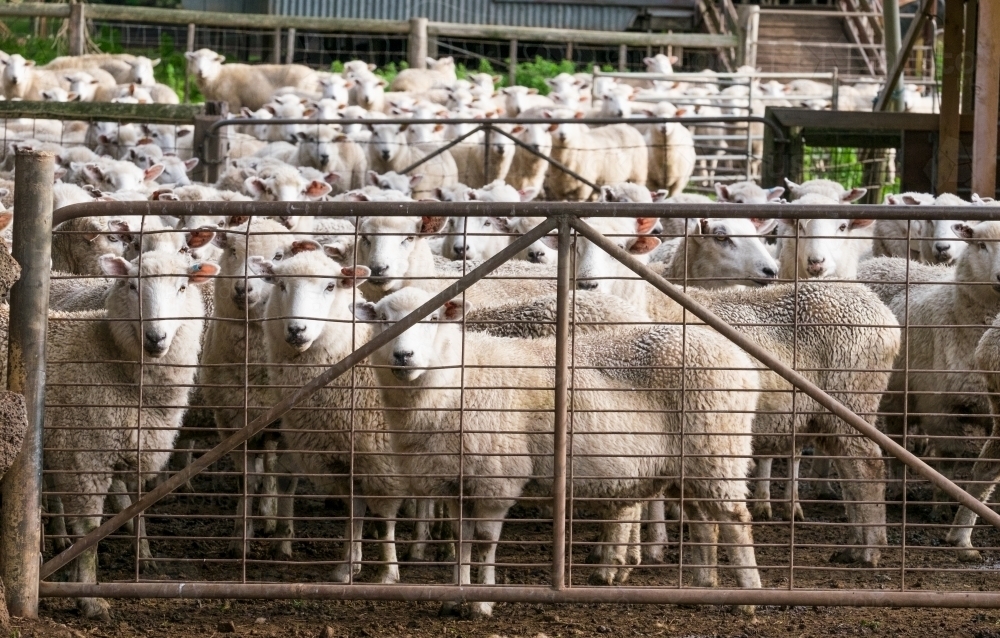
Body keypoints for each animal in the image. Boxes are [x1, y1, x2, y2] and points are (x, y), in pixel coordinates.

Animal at [2, 251, 217, 619]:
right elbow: (89, 532)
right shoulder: (84, 454)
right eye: (132, 286)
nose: (156, 337)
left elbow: (134, 509)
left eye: (183, 287)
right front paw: (89, 598)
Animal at [185, 48, 320, 111]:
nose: (201, 71)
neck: (218, 76)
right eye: (195, 59)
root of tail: (315, 74)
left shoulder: (233, 103)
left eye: (213, 60)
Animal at [251, 243, 404, 580]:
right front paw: (348, 566)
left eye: (331, 287)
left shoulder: (385, 461)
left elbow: (384, 518)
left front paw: (388, 573)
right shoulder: (342, 459)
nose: (297, 329)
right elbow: (353, 511)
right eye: (281, 285)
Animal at [355, 287, 761, 617]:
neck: (457, 381)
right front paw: (454, 599)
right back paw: (704, 586)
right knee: (703, 520)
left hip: (718, 447)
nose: (403, 356)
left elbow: (484, 544)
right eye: (384, 320)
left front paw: (481, 604)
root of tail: (740, 360)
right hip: (689, 463)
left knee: (736, 519)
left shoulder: (497, 478)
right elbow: (461, 542)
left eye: (434, 318)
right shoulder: (456, 481)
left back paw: (749, 597)